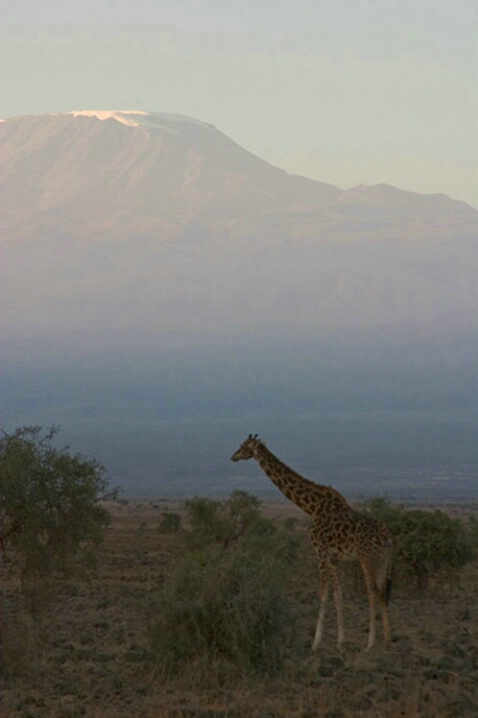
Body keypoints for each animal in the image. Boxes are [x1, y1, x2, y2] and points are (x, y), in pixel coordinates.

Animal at [231, 436, 392, 656]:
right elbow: (338, 595)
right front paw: (340, 642)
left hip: (367, 559)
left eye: (243, 446)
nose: (233, 457)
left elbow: (322, 595)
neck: (311, 508)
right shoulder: (333, 557)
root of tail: (388, 536)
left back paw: (370, 644)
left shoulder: (321, 553)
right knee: (384, 593)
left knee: (373, 592)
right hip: (383, 561)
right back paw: (386, 641)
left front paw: (315, 643)